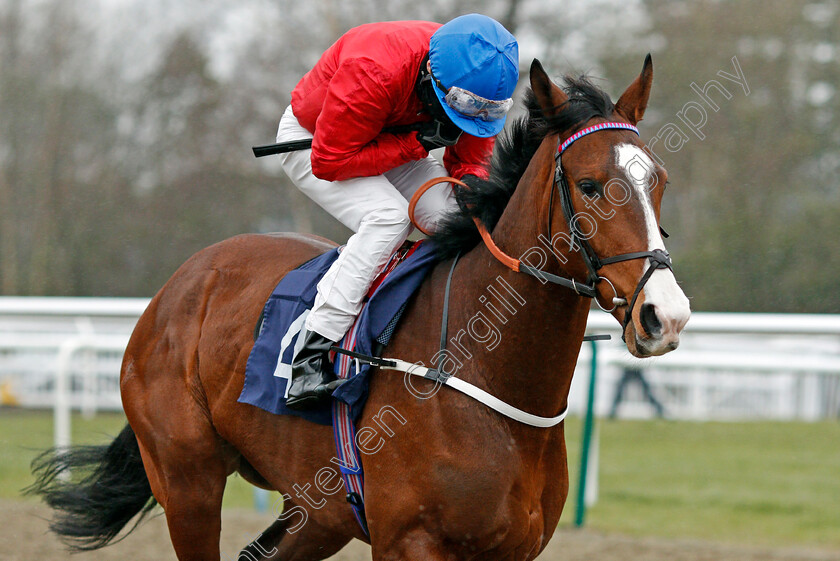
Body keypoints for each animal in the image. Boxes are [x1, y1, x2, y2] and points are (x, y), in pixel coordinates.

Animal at [31, 57, 688, 560]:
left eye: (659, 181)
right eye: (590, 185)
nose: (666, 314)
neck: (488, 376)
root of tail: (180, 284)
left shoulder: (512, 549)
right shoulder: (410, 543)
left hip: (318, 510)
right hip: (187, 480)